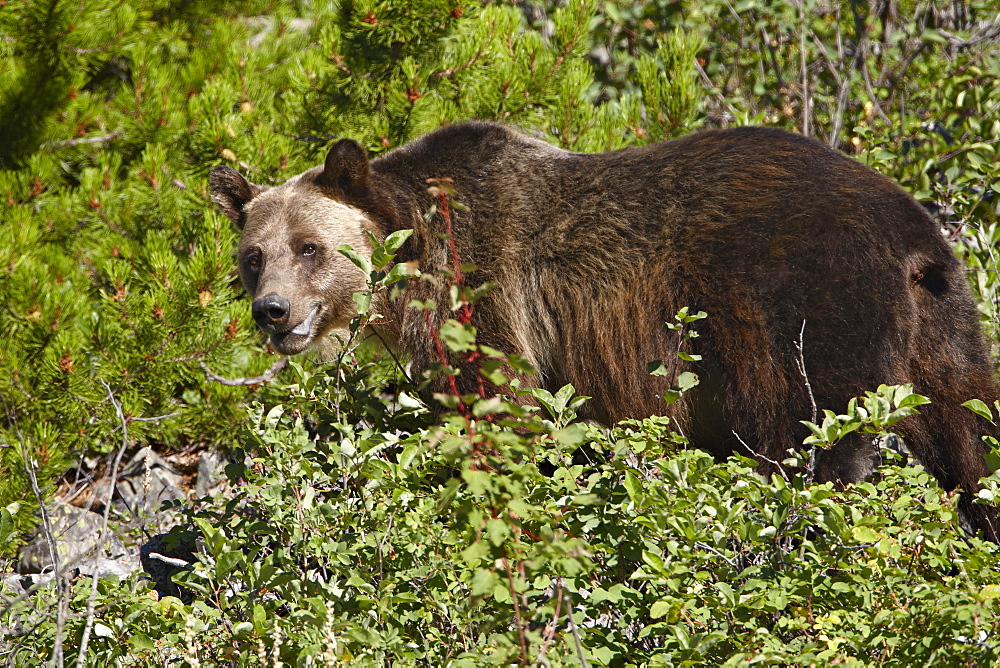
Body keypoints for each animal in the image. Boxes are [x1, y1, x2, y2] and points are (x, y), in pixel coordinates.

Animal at [211, 118, 1000, 536]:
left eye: (310, 247)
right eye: (254, 256)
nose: (272, 311)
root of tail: (910, 233)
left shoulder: (484, 288)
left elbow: (500, 405)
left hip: (802, 314)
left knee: (809, 440)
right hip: (944, 326)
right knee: (972, 440)